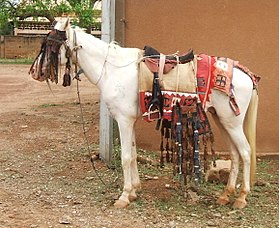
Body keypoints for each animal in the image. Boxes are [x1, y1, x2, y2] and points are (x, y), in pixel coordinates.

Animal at [29, 18, 260, 209]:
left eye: (50, 43)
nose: (35, 72)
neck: (112, 69)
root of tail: (246, 74)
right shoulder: (129, 121)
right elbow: (132, 155)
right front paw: (134, 191)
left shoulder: (123, 120)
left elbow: (125, 157)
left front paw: (123, 196)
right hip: (222, 121)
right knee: (235, 154)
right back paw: (225, 195)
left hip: (232, 123)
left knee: (245, 153)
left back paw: (241, 198)